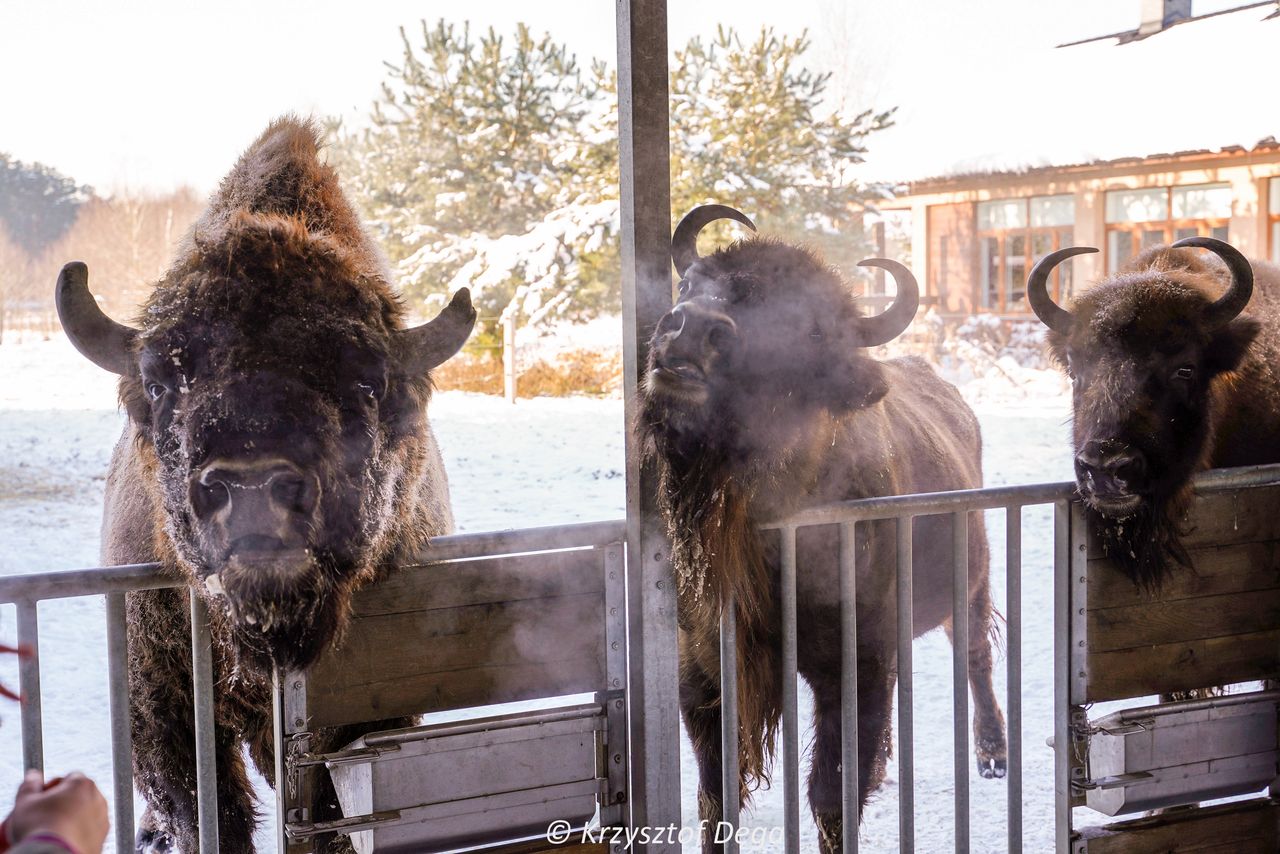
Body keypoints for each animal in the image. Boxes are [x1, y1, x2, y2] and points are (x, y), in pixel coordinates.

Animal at [640, 203, 1008, 850]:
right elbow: (716, 795)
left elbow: (831, 794)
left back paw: (992, 756)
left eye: (804, 329)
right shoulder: (704, 672)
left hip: (972, 585)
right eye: (689, 285)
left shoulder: (852, 670)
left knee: (975, 657)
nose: (688, 331)